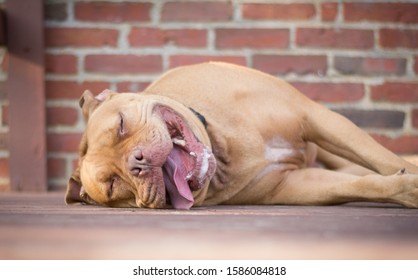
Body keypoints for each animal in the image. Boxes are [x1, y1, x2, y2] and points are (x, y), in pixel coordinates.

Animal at [64, 62, 418, 209]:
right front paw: (405, 189)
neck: (224, 151)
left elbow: (381, 157)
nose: (137, 163)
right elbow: (360, 183)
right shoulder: (294, 183)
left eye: (121, 124)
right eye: (113, 185)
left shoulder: (315, 117)